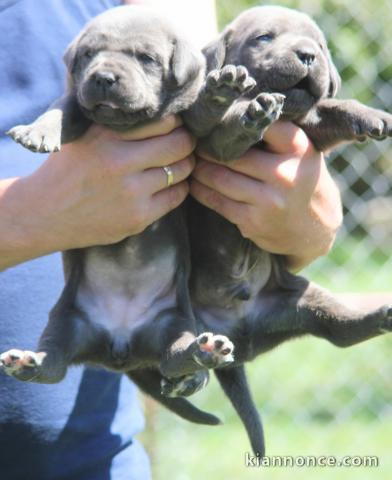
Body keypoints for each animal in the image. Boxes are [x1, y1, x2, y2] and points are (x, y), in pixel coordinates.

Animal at [0, 6, 236, 428]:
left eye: (146, 58)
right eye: (87, 55)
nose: (103, 78)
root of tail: (120, 347)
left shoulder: (190, 123)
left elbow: (202, 112)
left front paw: (220, 92)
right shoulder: (77, 103)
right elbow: (60, 109)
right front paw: (38, 132)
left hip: (171, 323)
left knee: (175, 356)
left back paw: (203, 353)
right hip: (67, 319)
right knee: (54, 363)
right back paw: (27, 362)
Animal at [182, 7, 390, 456]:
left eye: (321, 46)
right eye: (264, 38)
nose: (308, 54)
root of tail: (239, 336)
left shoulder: (312, 126)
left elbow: (332, 107)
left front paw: (371, 116)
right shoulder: (212, 147)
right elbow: (229, 127)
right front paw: (251, 115)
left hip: (301, 304)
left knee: (337, 332)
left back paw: (381, 317)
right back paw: (194, 365)